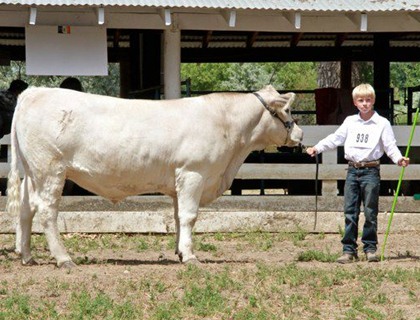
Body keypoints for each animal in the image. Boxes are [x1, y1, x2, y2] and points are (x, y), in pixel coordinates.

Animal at [6, 85, 302, 268]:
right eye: (287, 110)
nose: (299, 134)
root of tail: (34, 91)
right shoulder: (194, 172)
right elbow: (189, 216)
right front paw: (191, 256)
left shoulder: (180, 179)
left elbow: (178, 216)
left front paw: (180, 251)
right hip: (50, 168)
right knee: (46, 210)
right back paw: (63, 258)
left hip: (32, 170)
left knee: (26, 208)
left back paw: (27, 256)